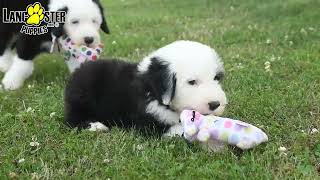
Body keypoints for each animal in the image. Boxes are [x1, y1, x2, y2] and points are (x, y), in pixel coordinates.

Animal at [64, 40, 228, 139]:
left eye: (216, 78)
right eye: (192, 82)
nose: (215, 104)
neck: (153, 92)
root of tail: (78, 71)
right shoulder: (147, 124)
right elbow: (176, 129)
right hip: (82, 98)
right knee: (72, 119)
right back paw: (95, 125)